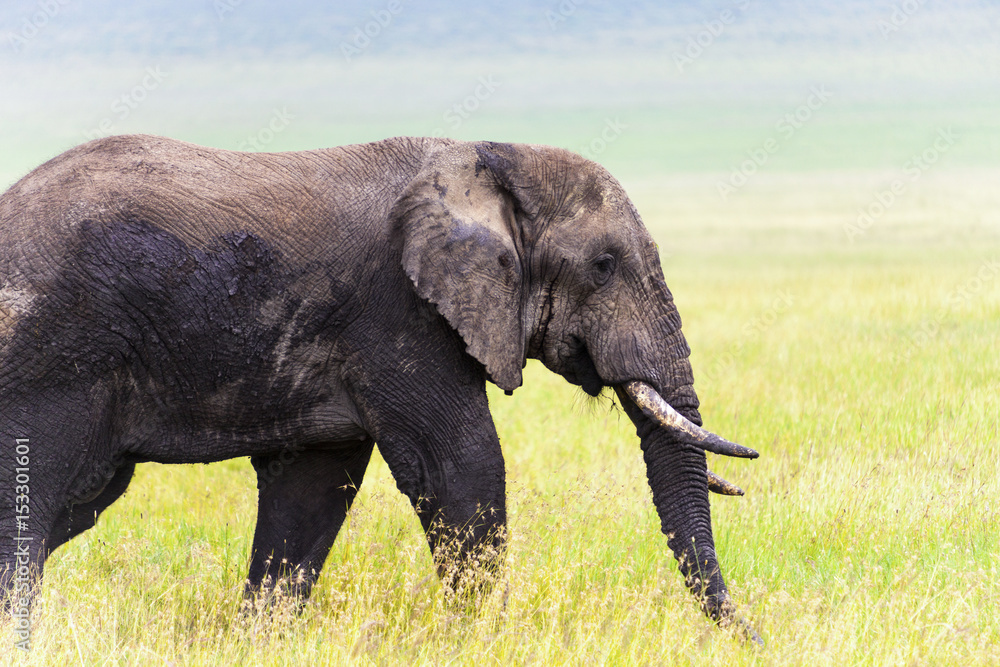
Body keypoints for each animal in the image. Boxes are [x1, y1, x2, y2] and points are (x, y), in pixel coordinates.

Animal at [0, 135, 758, 639]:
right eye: (604, 265)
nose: (753, 636)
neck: (491, 160)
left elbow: (312, 490)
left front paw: (258, 642)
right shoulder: (401, 314)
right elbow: (463, 467)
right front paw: (487, 642)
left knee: (72, 509)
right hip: (51, 359)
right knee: (32, 510)